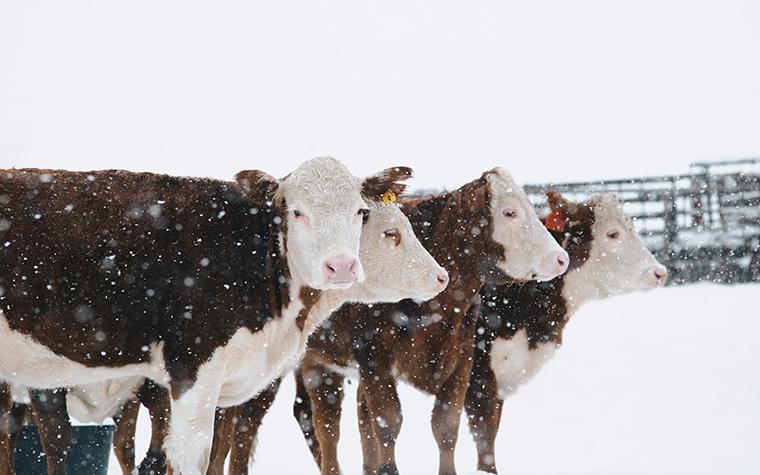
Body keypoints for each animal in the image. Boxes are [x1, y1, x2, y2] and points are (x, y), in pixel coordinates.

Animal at [209, 169, 570, 475]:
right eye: (509, 212)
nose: (560, 258)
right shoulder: (374, 357)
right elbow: (387, 421)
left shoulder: (463, 355)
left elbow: (446, 425)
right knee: (251, 423)